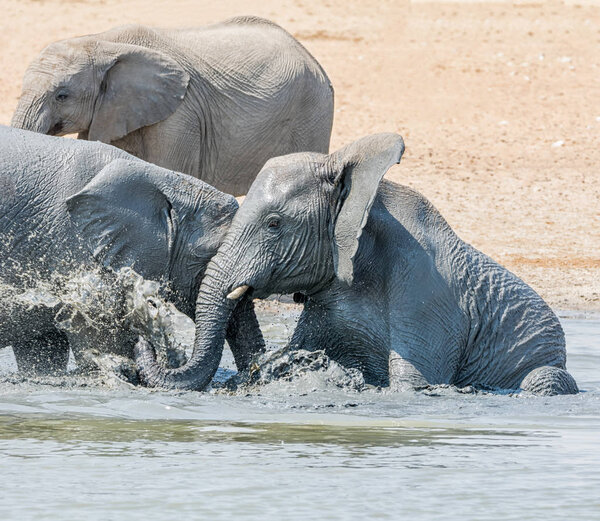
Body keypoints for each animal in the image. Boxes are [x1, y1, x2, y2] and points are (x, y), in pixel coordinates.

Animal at [135, 133, 576, 394]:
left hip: (545, 365)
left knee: (545, 380)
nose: (144, 338)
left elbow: (414, 383)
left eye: (274, 224)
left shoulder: (427, 295)